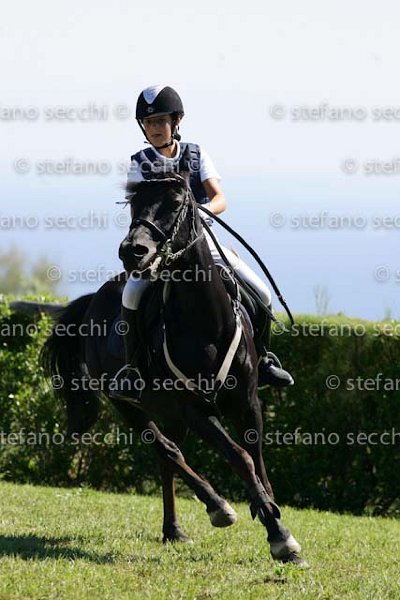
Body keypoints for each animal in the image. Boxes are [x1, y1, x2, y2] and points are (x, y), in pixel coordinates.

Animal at [41, 170, 306, 565]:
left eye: (176, 204)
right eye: (133, 203)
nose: (132, 252)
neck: (206, 322)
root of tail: (93, 300)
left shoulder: (247, 402)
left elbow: (256, 456)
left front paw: (268, 508)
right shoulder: (195, 410)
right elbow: (240, 457)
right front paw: (280, 537)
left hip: (169, 413)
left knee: (168, 459)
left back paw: (175, 530)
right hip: (131, 406)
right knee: (167, 451)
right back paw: (216, 507)